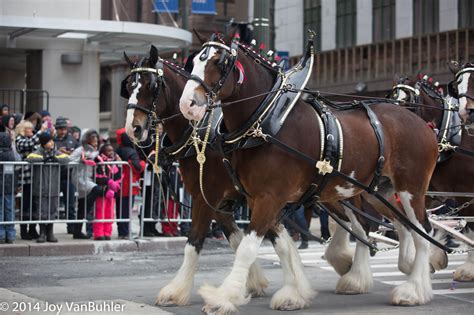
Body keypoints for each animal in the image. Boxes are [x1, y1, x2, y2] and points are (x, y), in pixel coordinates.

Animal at [180, 35, 438, 312]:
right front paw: (293, 293)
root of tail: (422, 123)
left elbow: (248, 248)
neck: (268, 121)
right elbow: (282, 245)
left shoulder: (268, 198)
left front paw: (223, 297)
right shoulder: (256, 198)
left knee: (422, 232)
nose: (187, 104)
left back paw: (413, 290)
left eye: (219, 62)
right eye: (193, 62)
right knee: (399, 226)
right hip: (380, 190)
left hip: (410, 188)